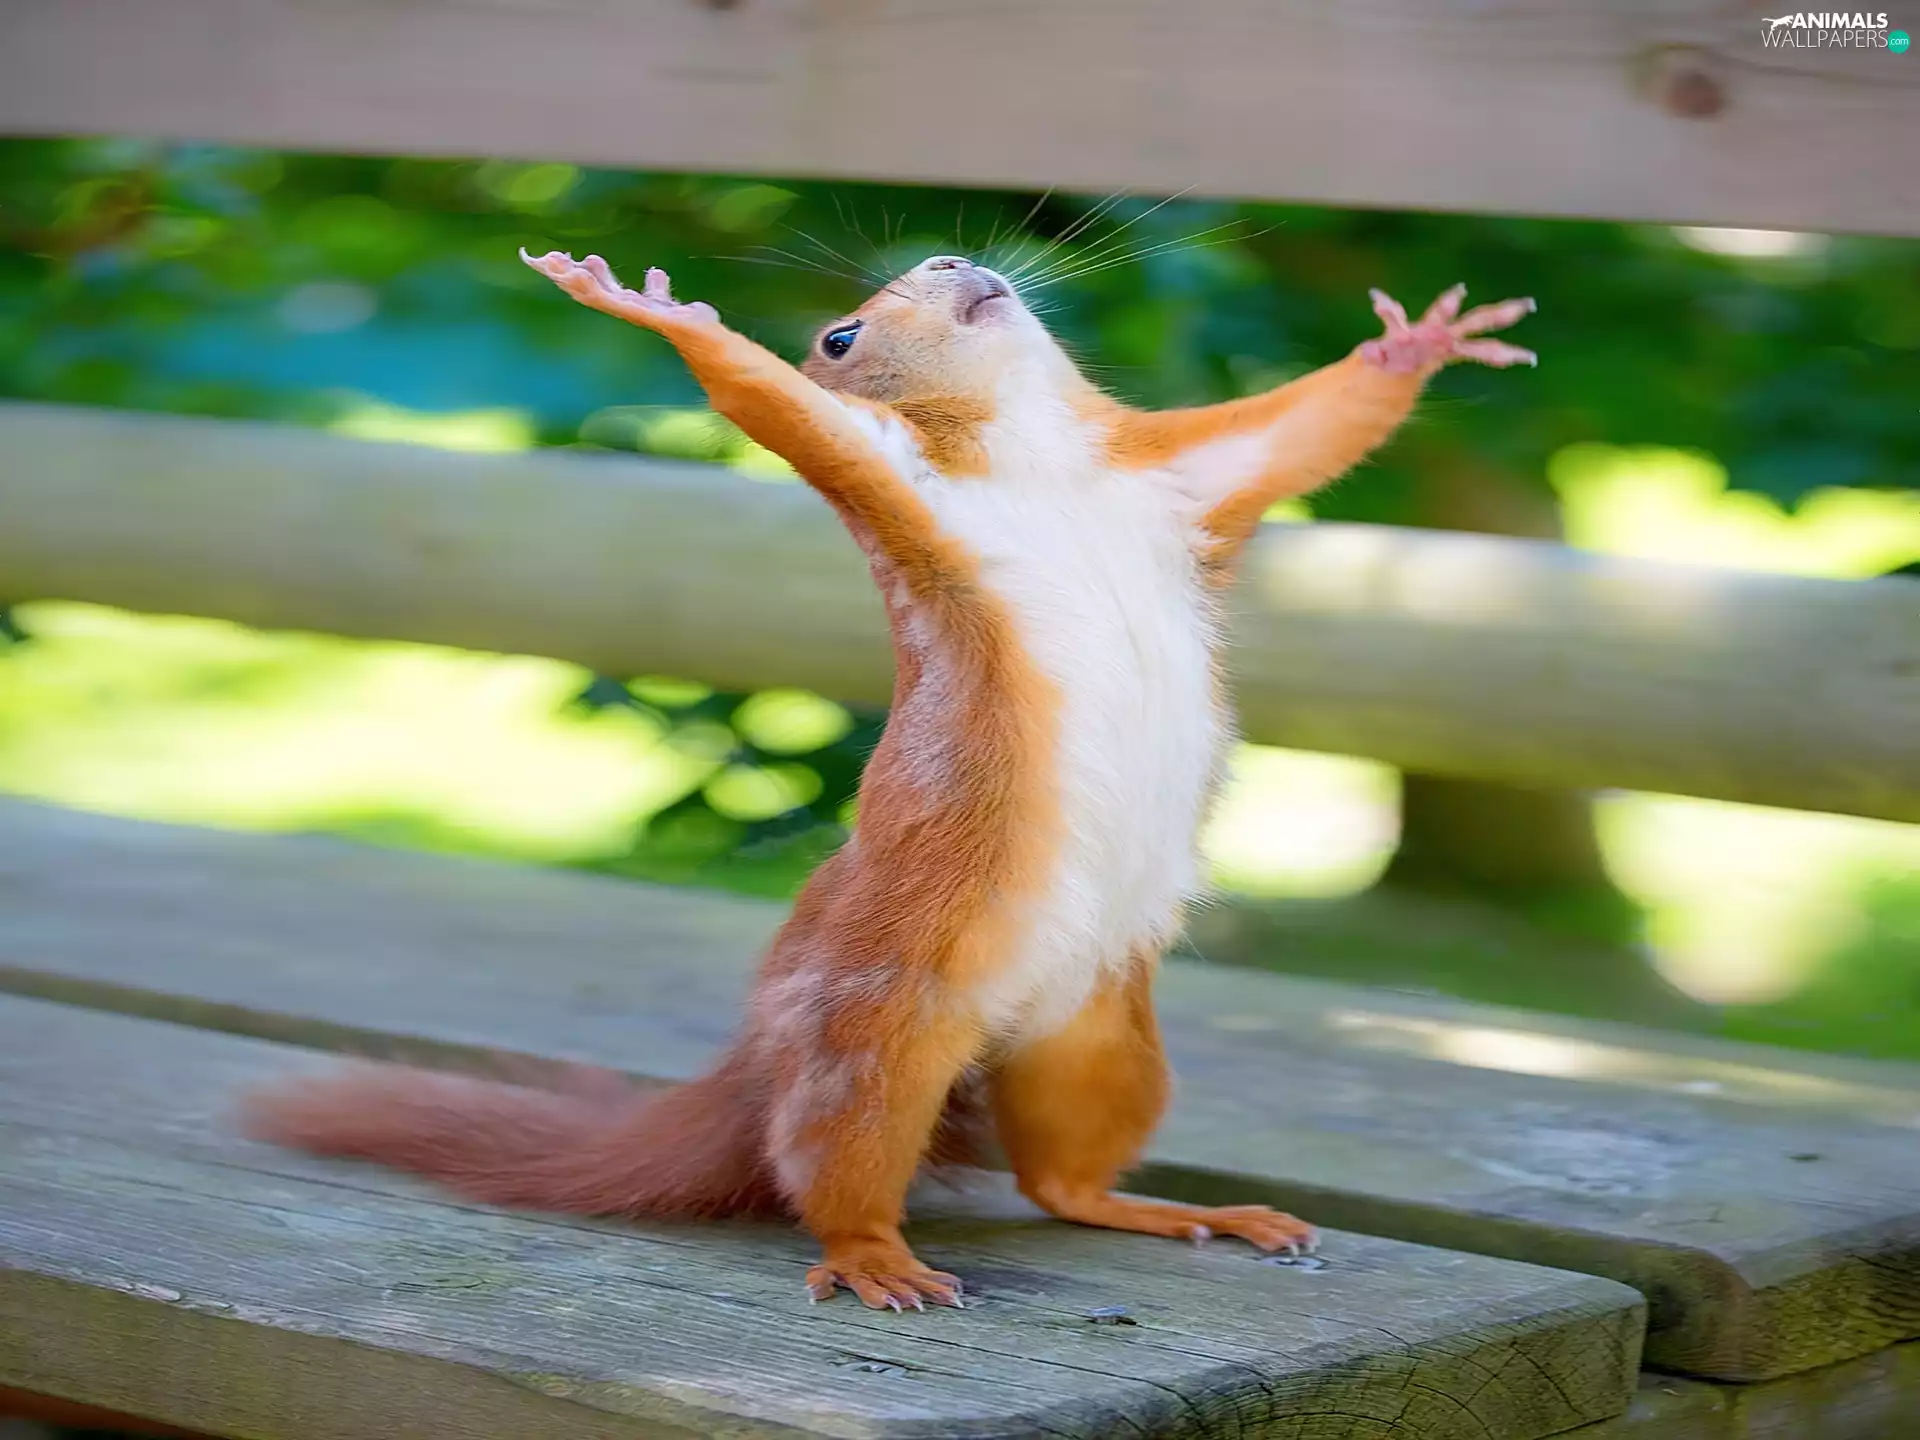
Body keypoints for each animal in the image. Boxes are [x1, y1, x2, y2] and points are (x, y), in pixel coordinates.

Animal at [246, 245, 1535, 1312]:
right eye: (837, 337)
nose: (954, 260)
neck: (1038, 458)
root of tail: (763, 1052)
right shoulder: (900, 481)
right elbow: (768, 405)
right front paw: (660, 312)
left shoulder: (1187, 476)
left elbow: (1308, 428)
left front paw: (1415, 344)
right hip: (876, 1034)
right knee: (833, 1166)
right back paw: (875, 1258)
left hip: (1099, 1039)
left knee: (1062, 1180)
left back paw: (1183, 1209)